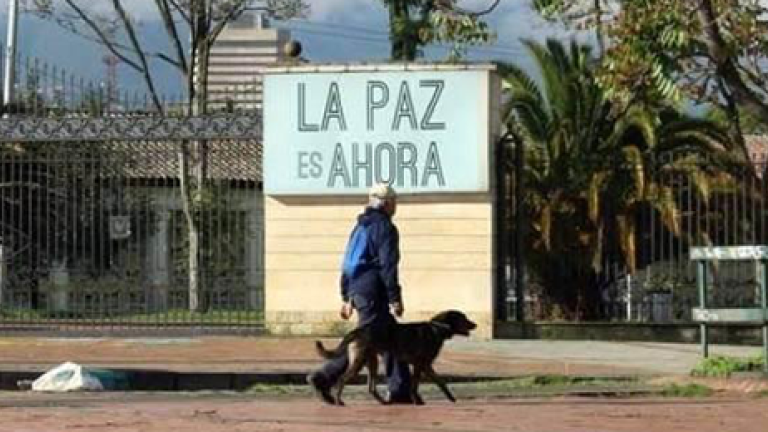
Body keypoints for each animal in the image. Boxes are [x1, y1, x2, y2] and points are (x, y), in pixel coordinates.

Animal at [316, 310, 476, 404]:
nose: (475, 324)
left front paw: (451, 398)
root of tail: (358, 330)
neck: (437, 328)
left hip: (371, 362)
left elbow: (441, 382)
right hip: (359, 361)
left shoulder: (426, 366)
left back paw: (383, 402)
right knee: (342, 379)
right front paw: (417, 401)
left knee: (371, 387)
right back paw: (338, 401)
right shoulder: (420, 365)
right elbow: (415, 385)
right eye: (463, 318)